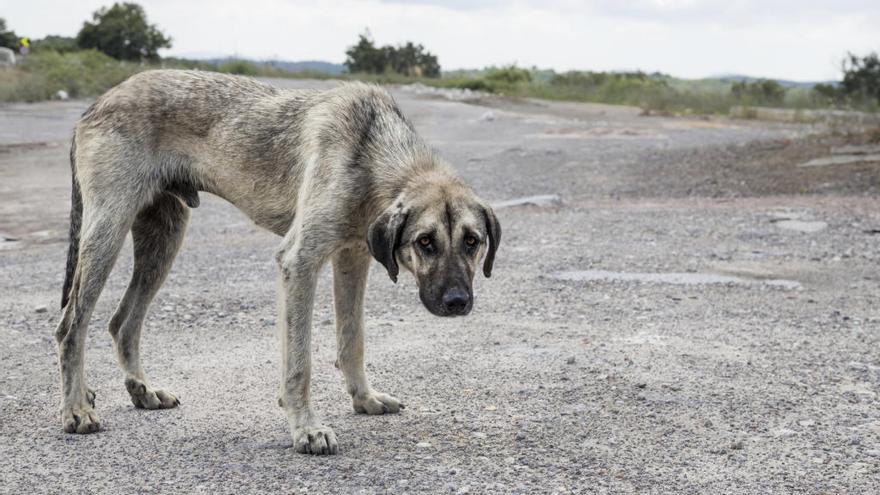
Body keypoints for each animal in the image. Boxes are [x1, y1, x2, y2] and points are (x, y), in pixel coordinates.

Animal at [55, 70, 502, 458]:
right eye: (425, 242)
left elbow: (352, 340)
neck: (373, 151)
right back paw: (76, 409)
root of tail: (97, 103)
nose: (457, 303)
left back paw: (142, 391)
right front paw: (306, 428)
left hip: (163, 239)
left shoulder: (352, 259)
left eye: (472, 242)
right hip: (107, 233)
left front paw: (364, 398)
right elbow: (299, 363)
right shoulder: (299, 263)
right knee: (71, 325)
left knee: (123, 322)